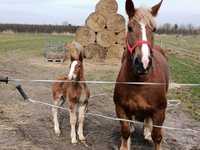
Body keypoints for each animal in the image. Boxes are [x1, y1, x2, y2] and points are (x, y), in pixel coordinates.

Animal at [114, 0, 169, 149]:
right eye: (129, 27)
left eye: (154, 29)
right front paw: (125, 144)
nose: (143, 63)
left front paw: (150, 134)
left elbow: (157, 136)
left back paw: (147, 132)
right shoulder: (120, 108)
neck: (140, 82)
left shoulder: (160, 111)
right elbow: (125, 131)